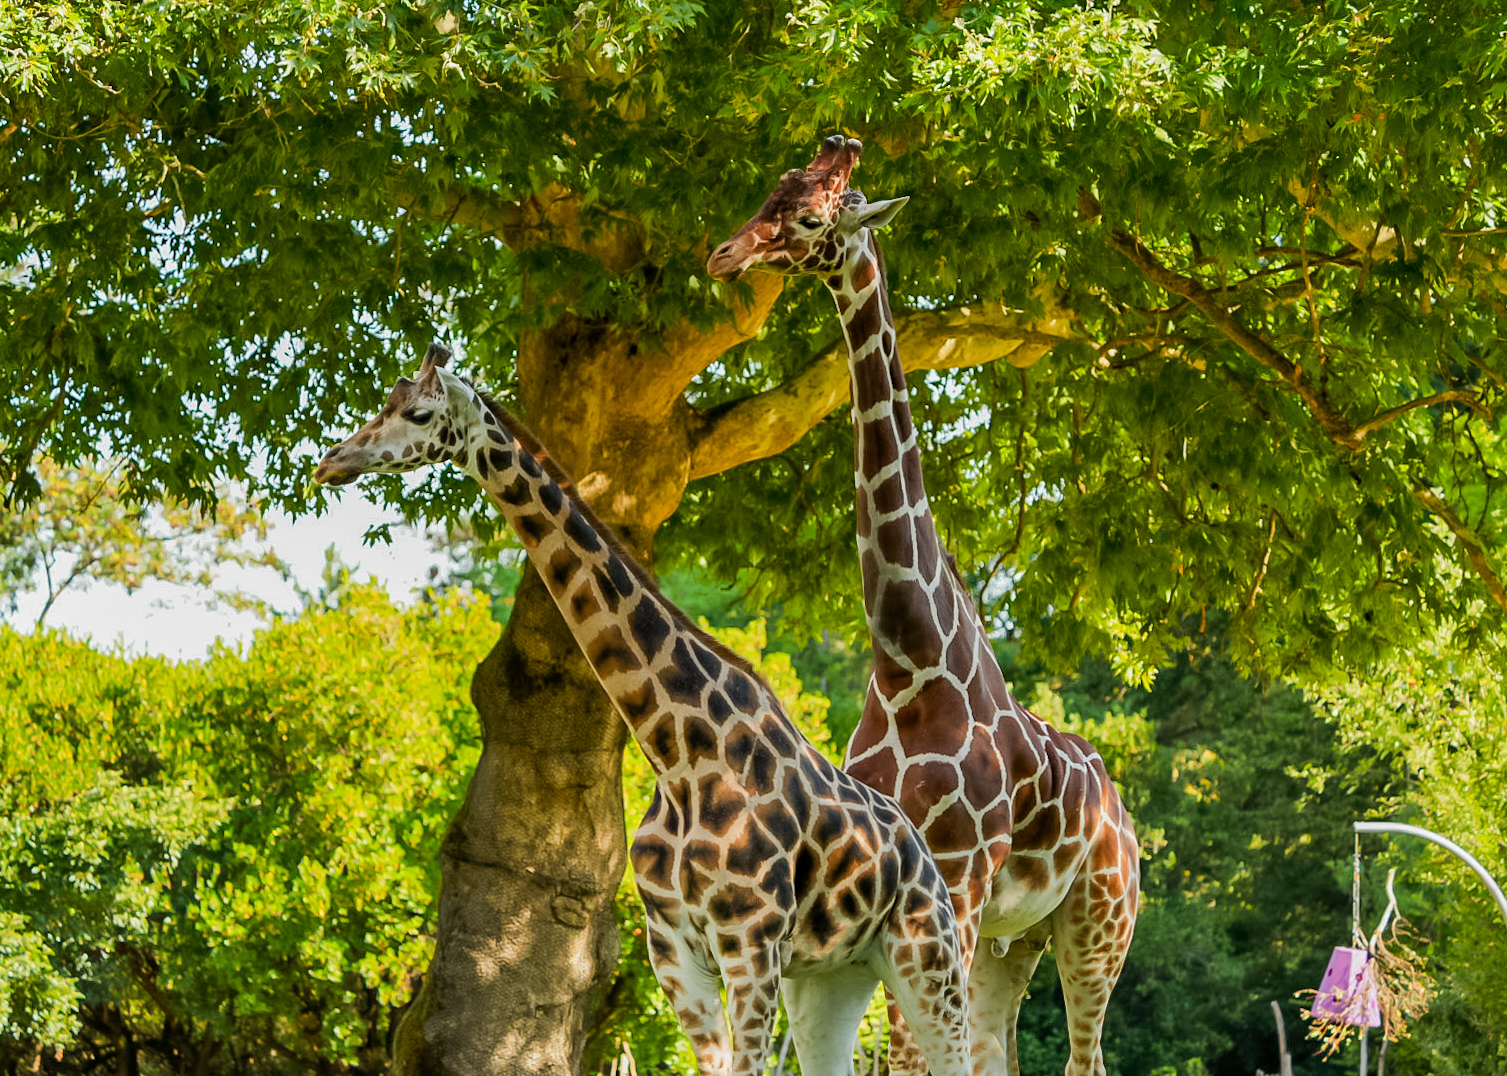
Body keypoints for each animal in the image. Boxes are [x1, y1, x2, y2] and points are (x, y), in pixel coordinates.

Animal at [313, 343, 973, 1076]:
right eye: (385, 402)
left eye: (420, 414)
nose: (331, 461)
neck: (676, 751)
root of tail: (925, 858)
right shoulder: (674, 951)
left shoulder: (752, 943)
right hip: (835, 975)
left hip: (925, 957)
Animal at [706, 137, 1141, 1076]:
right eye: (770, 192)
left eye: (810, 217)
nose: (723, 254)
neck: (911, 662)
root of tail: (1123, 815)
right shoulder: (897, 886)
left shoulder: (958, 879)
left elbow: (906, 1058)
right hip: (1013, 942)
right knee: (993, 1050)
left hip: (1097, 924)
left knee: (1082, 1056)